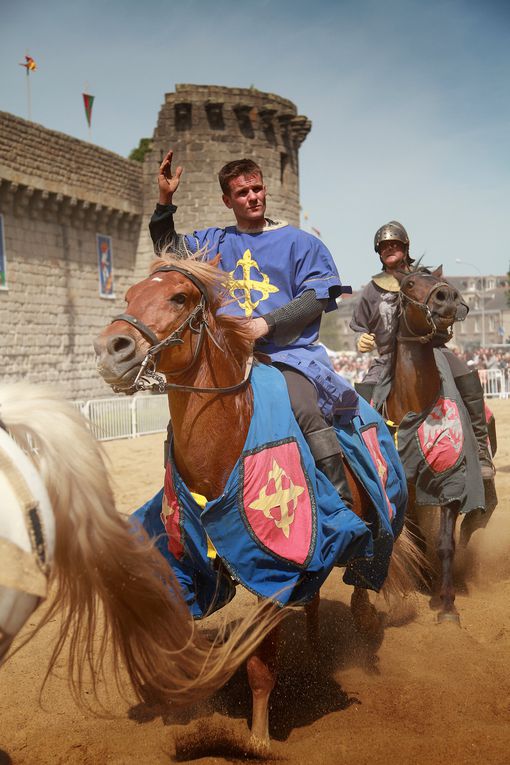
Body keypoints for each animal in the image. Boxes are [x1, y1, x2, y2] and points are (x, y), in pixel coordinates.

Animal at [94, 255, 422, 752]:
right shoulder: (189, 561)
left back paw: (362, 622)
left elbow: (260, 663)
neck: (227, 439)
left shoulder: (278, 571)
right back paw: (315, 646)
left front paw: (258, 740)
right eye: (129, 295)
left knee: (367, 568)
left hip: (379, 518)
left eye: (179, 297)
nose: (111, 348)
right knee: (317, 599)